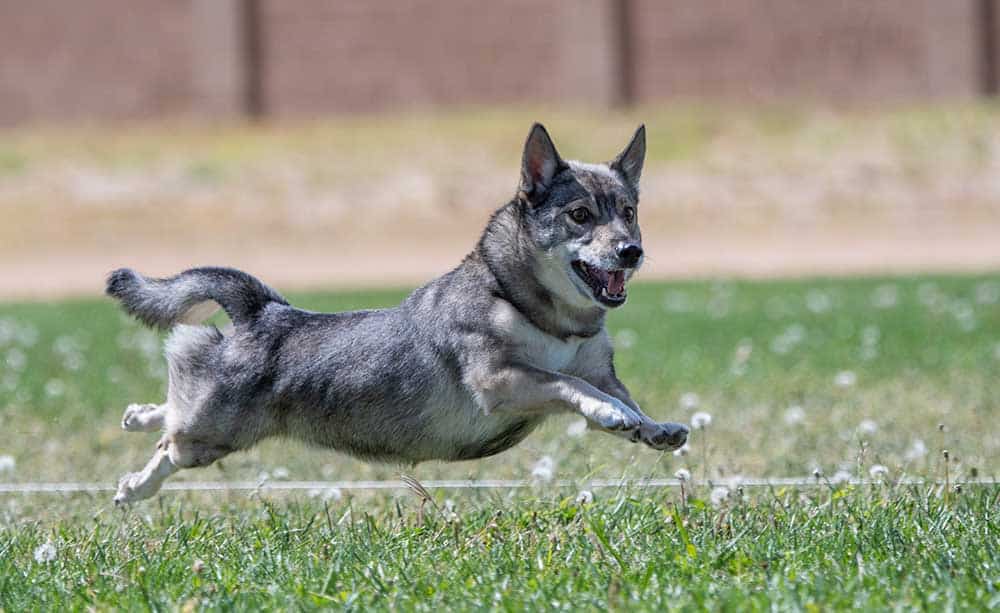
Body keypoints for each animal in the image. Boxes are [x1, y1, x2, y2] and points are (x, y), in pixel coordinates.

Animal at [107, 123, 688, 502]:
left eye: (629, 213)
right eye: (580, 215)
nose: (631, 251)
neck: (541, 312)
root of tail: (264, 311)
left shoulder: (597, 370)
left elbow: (620, 396)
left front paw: (651, 427)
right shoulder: (501, 380)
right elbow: (573, 386)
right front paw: (611, 415)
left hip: (211, 423)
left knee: (171, 410)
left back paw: (136, 415)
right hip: (212, 433)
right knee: (170, 442)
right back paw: (134, 486)